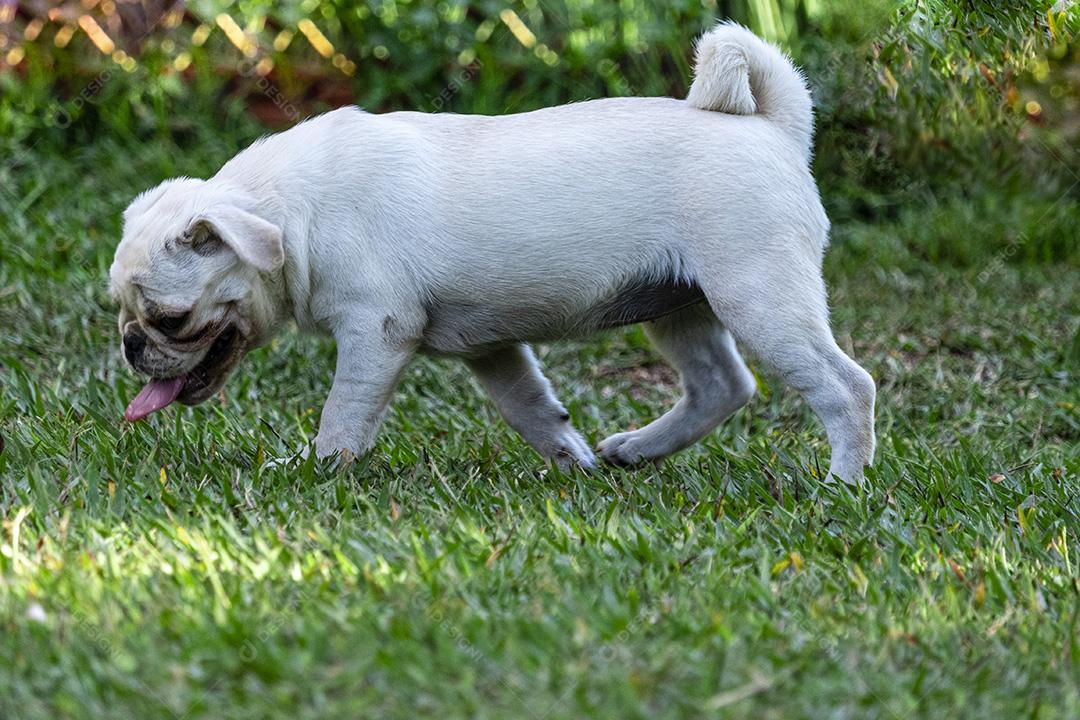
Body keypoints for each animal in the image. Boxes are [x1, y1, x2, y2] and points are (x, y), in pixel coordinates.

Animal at [107, 23, 876, 479]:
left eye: (171, 319)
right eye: (124, 312)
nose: (132, 345)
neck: (290, 213)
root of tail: (777, 128)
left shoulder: (374, 335)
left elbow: (343, 413)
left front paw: (315, 469)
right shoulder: (493, 350)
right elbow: (530, 408)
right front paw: (570, 462)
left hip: (758, 296)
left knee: (846, 387)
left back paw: (842, 482)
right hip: (680, 305)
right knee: (722, 384)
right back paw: (635, 449)